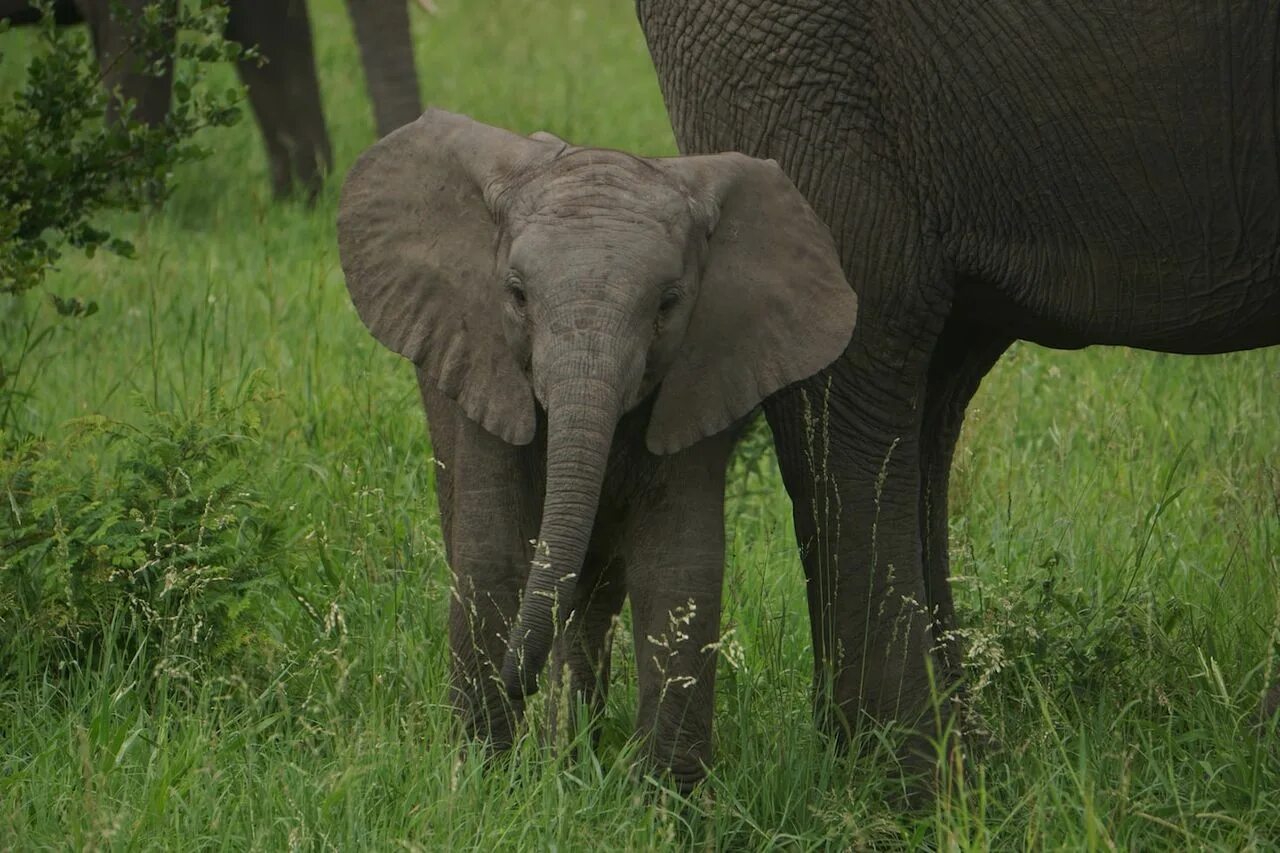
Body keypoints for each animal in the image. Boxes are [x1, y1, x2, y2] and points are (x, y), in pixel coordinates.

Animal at [340, 109, 860, 788]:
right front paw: (482, 781)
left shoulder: (698, 372)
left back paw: (570, 753)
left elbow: (679, 569)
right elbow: (492, 558)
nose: (518, 682)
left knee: (591, 589)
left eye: (668, 303)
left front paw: (664, 798)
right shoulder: (486, 364)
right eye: (516, 295)